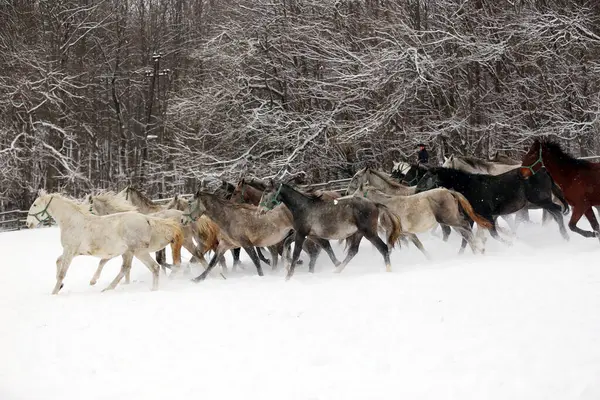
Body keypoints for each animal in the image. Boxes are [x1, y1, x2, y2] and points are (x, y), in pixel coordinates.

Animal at [27, 189, 183, 296]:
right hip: (129, 252)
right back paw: (109, 289)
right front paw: (60, 286)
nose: (28, 223)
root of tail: (147, 219)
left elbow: (62, 272)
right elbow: (58, 261)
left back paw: (152, 290)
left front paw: (54, 292)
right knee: (127, 268)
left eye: (34, 204)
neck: (72, 222)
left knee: (154, 267)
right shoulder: (74, 252)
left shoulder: (70, 251)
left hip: (139, 252)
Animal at [414, 166, 568, 247]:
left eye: (427, 178)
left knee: (558, 212)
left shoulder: (487, 215)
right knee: (557, 213)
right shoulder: (473, 218)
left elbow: (494, 234)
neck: (469, 186)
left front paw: (510, 244)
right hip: (542, 203)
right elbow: (467, 238)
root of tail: (543, 171)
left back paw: (565, 236)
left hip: (542, 201)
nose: (416, 191)